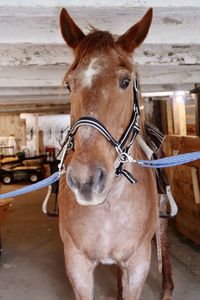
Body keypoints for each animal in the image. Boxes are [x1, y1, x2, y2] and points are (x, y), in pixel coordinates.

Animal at [57, 8, 172, 298]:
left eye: (125, 81)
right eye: (69, 85)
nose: (86, 179)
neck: (109, 204)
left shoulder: (139, 264)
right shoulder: (76, 265)